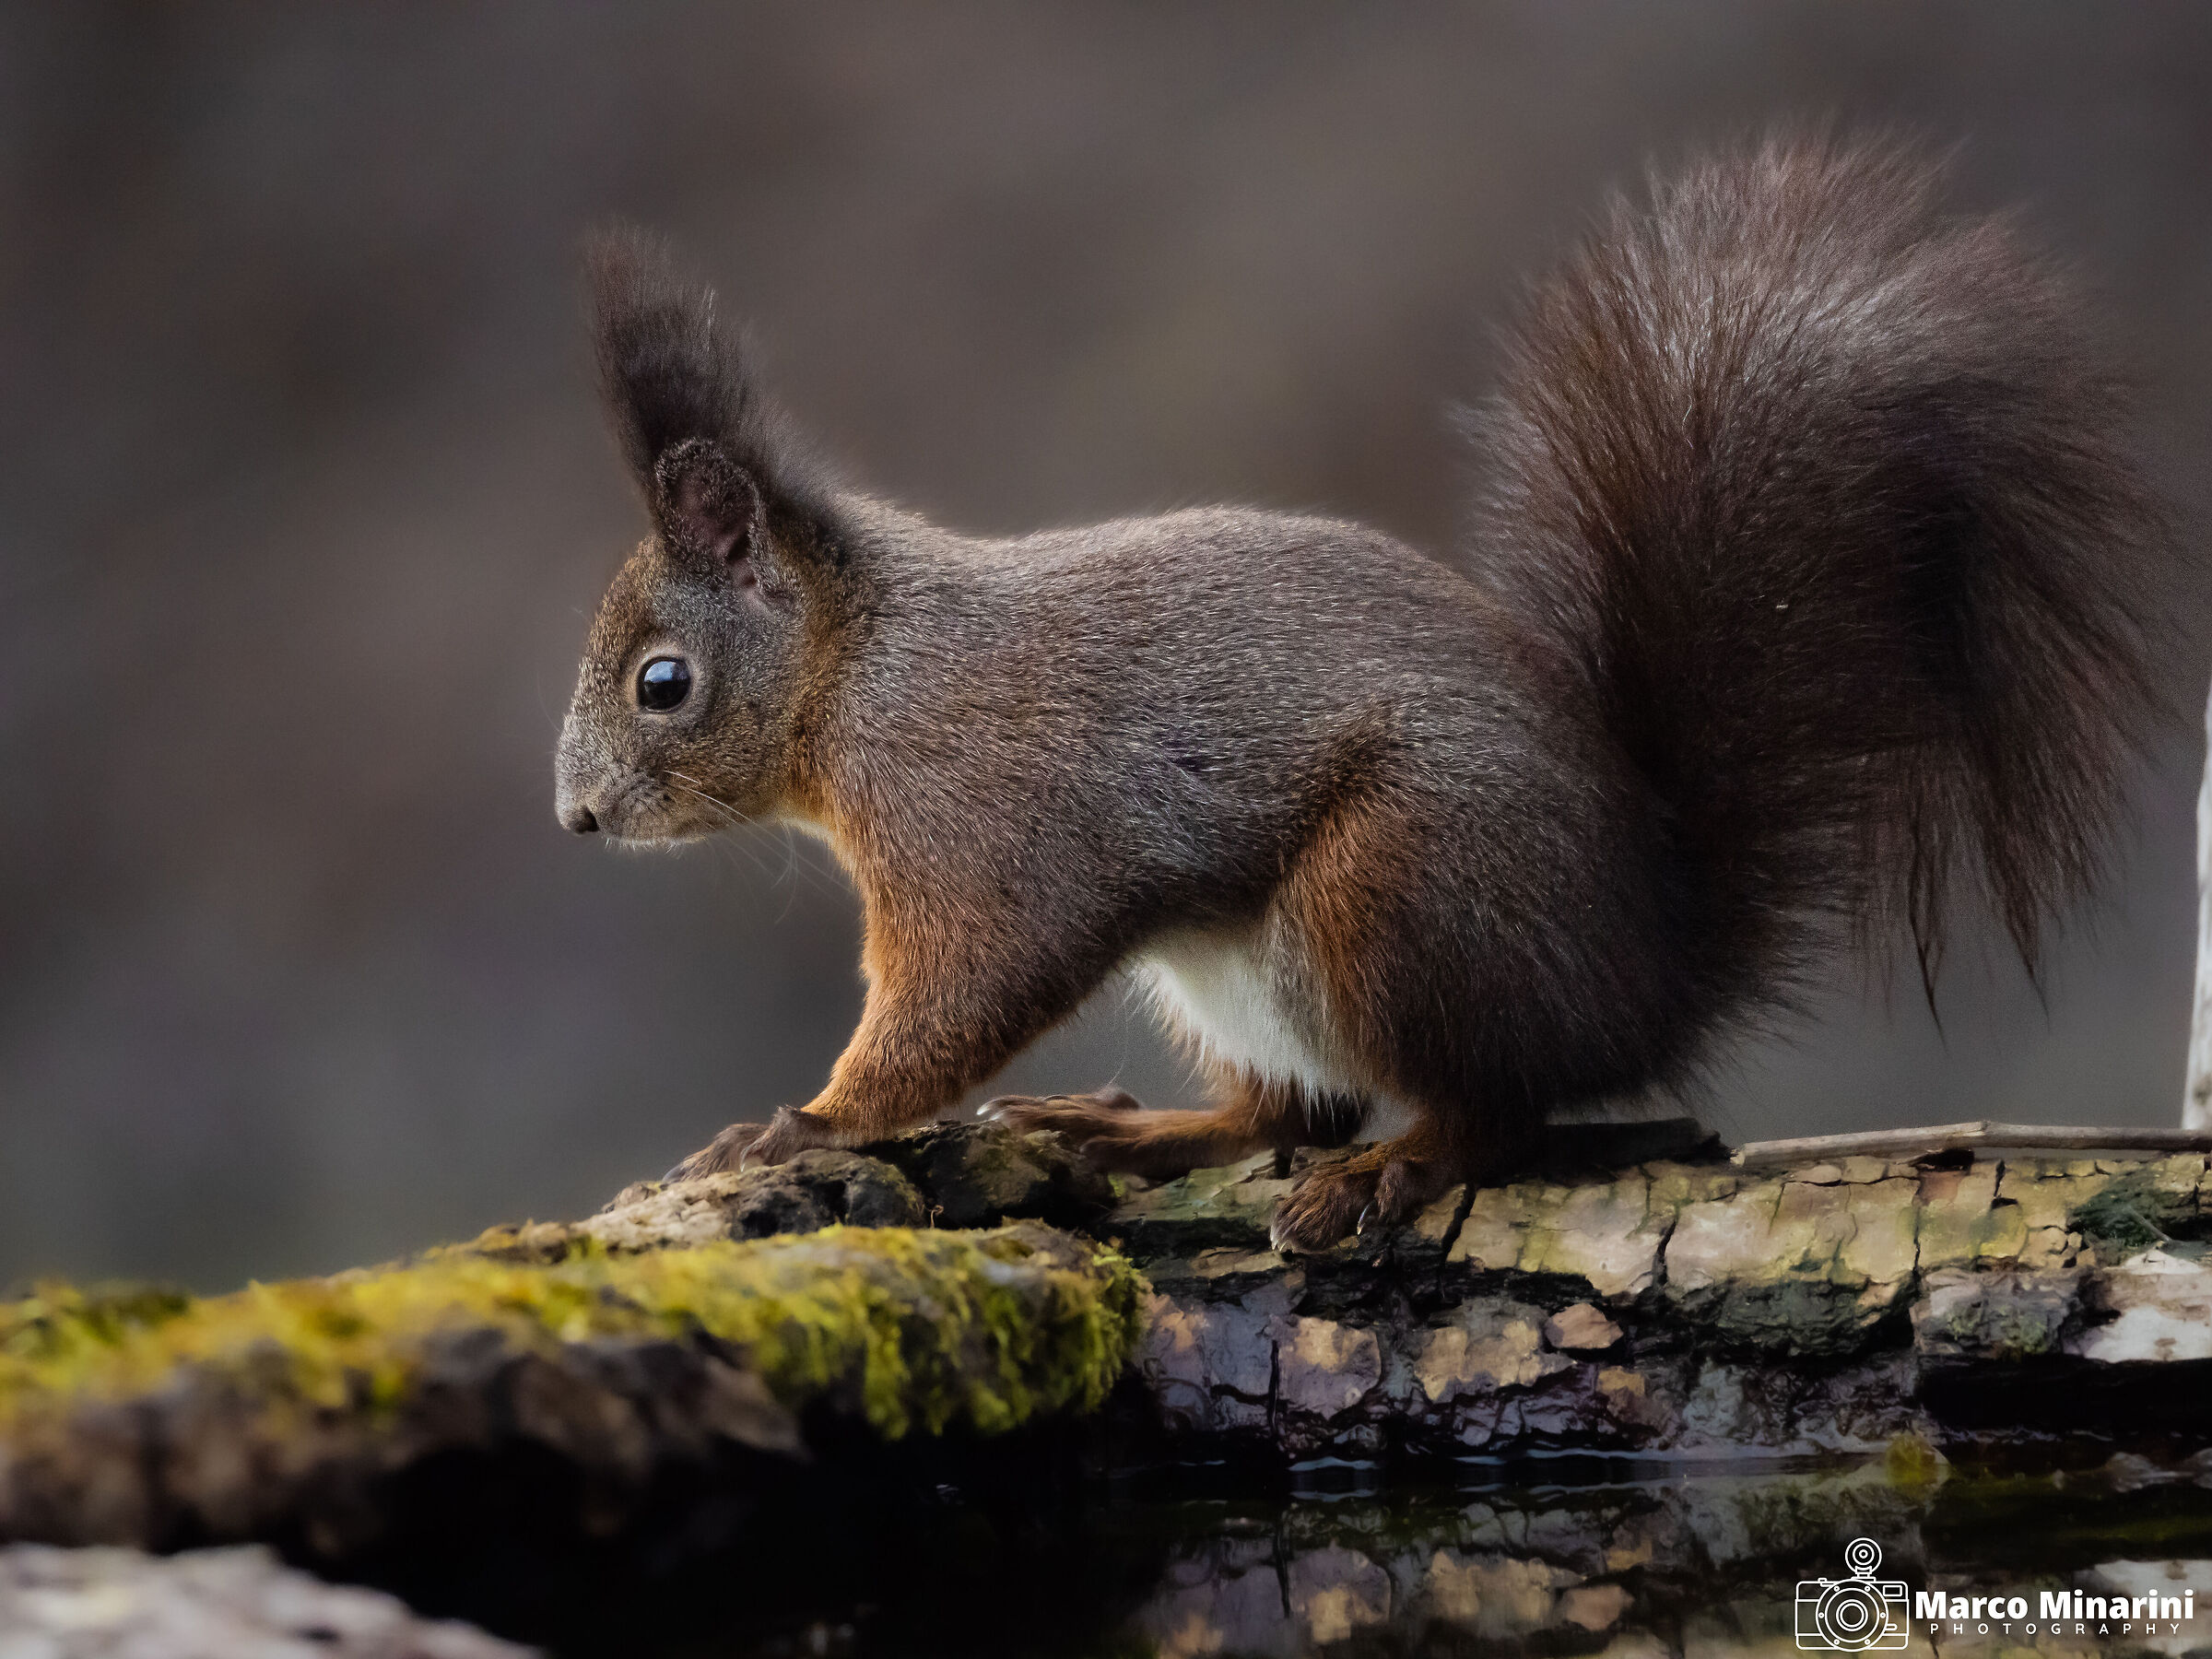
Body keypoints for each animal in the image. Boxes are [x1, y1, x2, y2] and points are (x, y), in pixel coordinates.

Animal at [554, 134, 2171, 1252]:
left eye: (661, 682)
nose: (575, 819)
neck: (863, 669)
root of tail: (1649, 971)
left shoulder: (983, 828)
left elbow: (955, 1000)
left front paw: (796, 1126)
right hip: (1247, 967)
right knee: (1292, 1105)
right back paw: (1139, 1130)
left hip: (1395, 890)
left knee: (1492, 1114)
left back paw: (1390, 1169)